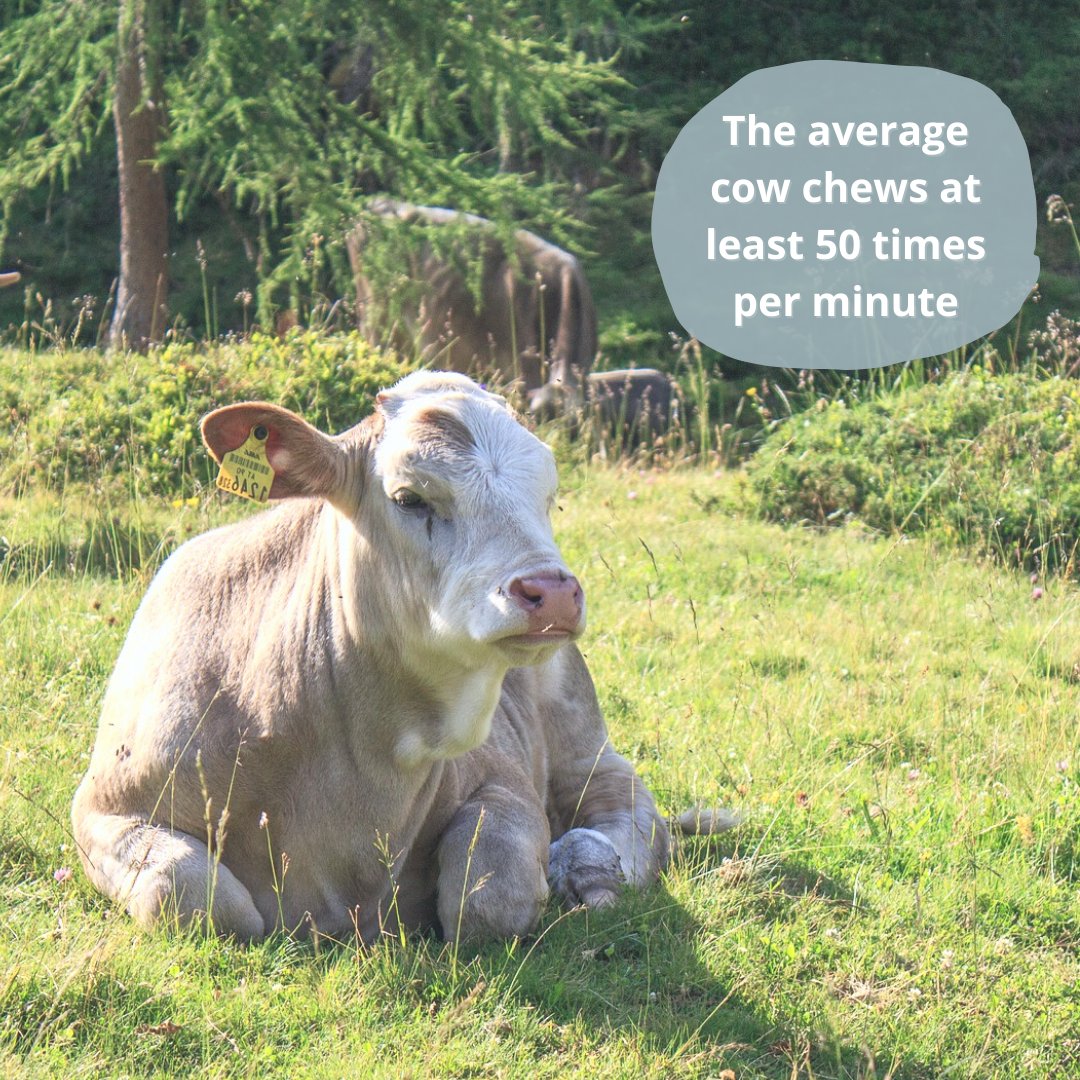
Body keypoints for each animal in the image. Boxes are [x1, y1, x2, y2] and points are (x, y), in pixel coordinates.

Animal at [71, 371, 672, 943]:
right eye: (409, 498)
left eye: (548, 495)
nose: (552, 591)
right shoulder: (103, 808)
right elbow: (197, 897)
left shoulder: (504, 779)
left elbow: (491, 894)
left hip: (583, 741)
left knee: (630, 807)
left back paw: (582, 863)